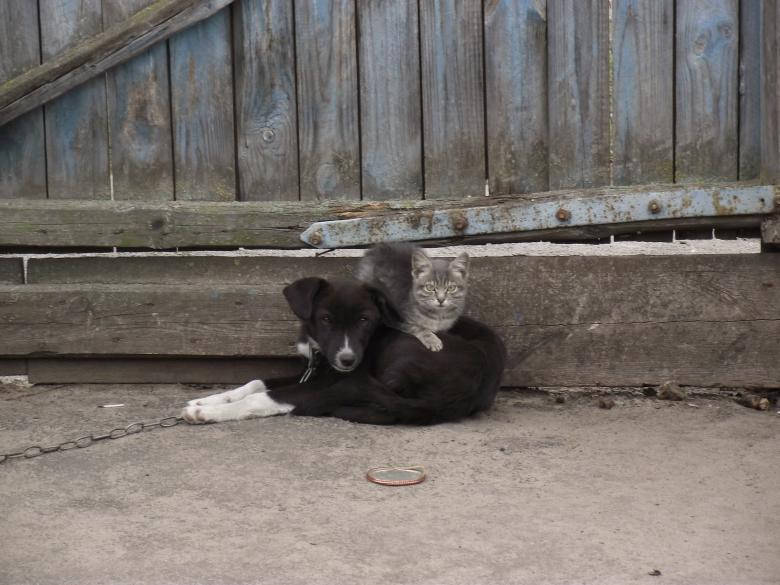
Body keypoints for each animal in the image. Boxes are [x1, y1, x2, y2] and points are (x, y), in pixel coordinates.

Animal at [182, 278, 506, 424]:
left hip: (406, 347)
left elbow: (260, 397)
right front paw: (207, 399)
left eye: (365, 320)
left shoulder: (324, 384)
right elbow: (254, 383)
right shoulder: (311, 374)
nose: (348, 360)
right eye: (326, 319)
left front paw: (207, 412)